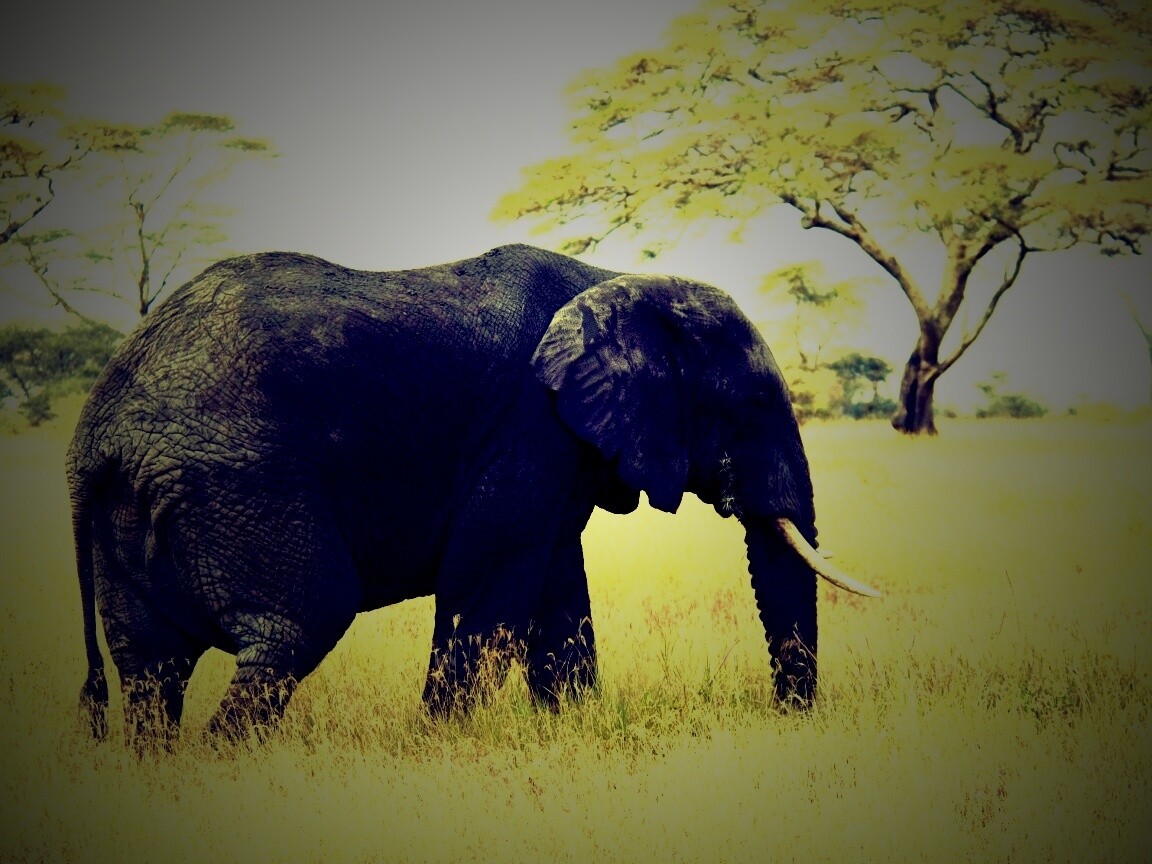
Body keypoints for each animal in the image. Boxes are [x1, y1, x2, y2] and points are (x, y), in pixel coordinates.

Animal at [67, 243, 878, 747]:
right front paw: (442, 744)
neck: (616, 278)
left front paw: (572, 732)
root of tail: (95, 435)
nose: (788, 719)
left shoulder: (555, 449)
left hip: (142, 505)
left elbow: (556, 593)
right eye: (752, 402)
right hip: (237, 484)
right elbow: (487, 587)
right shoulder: (528, 425)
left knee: (150, 666)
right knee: (297, 623)